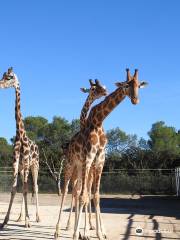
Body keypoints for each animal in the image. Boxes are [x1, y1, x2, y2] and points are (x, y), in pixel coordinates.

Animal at [71, 68, 148, 239]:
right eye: (126, 85)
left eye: (138, 85)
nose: (135, 100)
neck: (98, 121)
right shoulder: (89, 158)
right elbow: (84, 195)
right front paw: (82, 233)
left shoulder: (100, 160)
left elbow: (96, 195)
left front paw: (100, 233)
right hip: (76, 165)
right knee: (77, 192)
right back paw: (70, 231)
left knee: (81, 192)